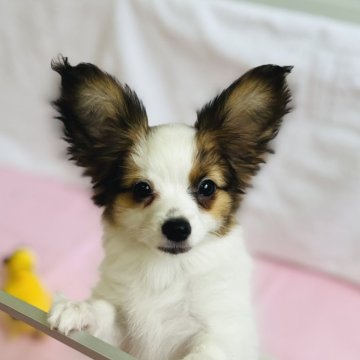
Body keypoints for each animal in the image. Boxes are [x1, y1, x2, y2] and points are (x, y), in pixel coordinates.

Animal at [47, 57, 292, 360]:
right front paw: (78, 308)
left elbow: (205, 351)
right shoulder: (124, 327)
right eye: (141, 189)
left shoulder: (221, 330)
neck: (167, 269)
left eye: (207, 187)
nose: (177, 229)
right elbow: (105, 312)